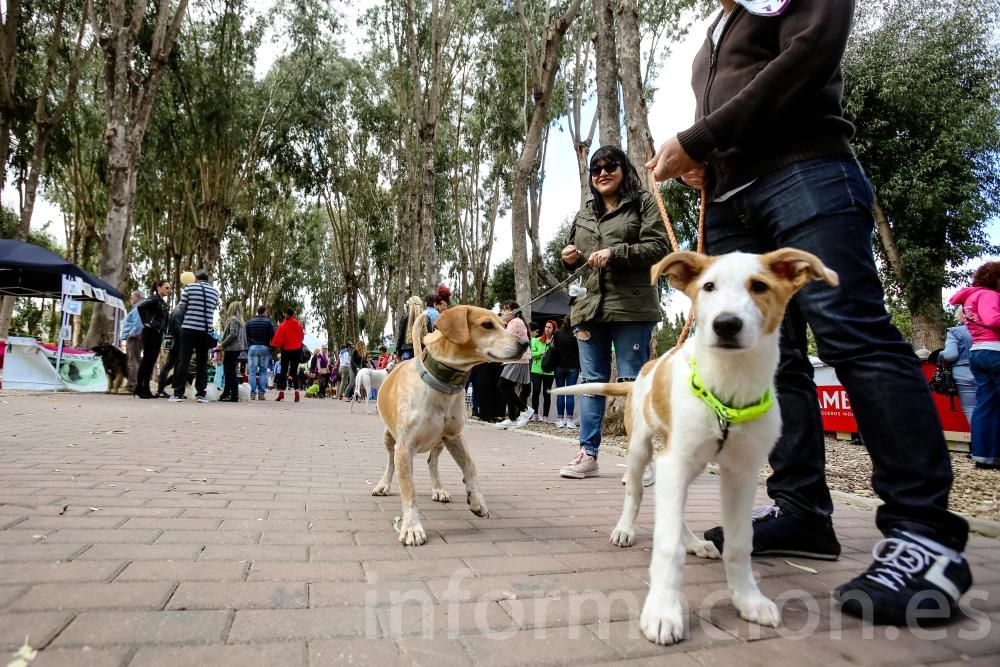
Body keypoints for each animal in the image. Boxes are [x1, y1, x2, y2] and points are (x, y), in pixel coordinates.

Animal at [374, 308, 532, 548]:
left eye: (504, 325)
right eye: (487, 325)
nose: (525, 343)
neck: (441, 385)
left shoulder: (454, 436)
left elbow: (470, 466)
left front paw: (476, 499)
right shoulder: (405, 446)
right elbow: (408, 489)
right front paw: (412, 527)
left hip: (439, 443)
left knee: (432, 462)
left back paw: (438, 489)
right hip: (389, 438)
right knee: (391, 462)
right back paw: (384, 485)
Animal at [552, 248, 840, 644]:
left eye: (760, 286)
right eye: (709, 286)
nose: (726, 325)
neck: (731, 384)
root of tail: (641, 373)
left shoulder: (740, 473)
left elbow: (739, 543)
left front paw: (748, 599)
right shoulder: (675, 462)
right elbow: (666, 544)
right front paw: (663, 612)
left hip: (690, 462)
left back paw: (694, 542)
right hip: (642, 449)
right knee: (637, 493)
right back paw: (626, 529)